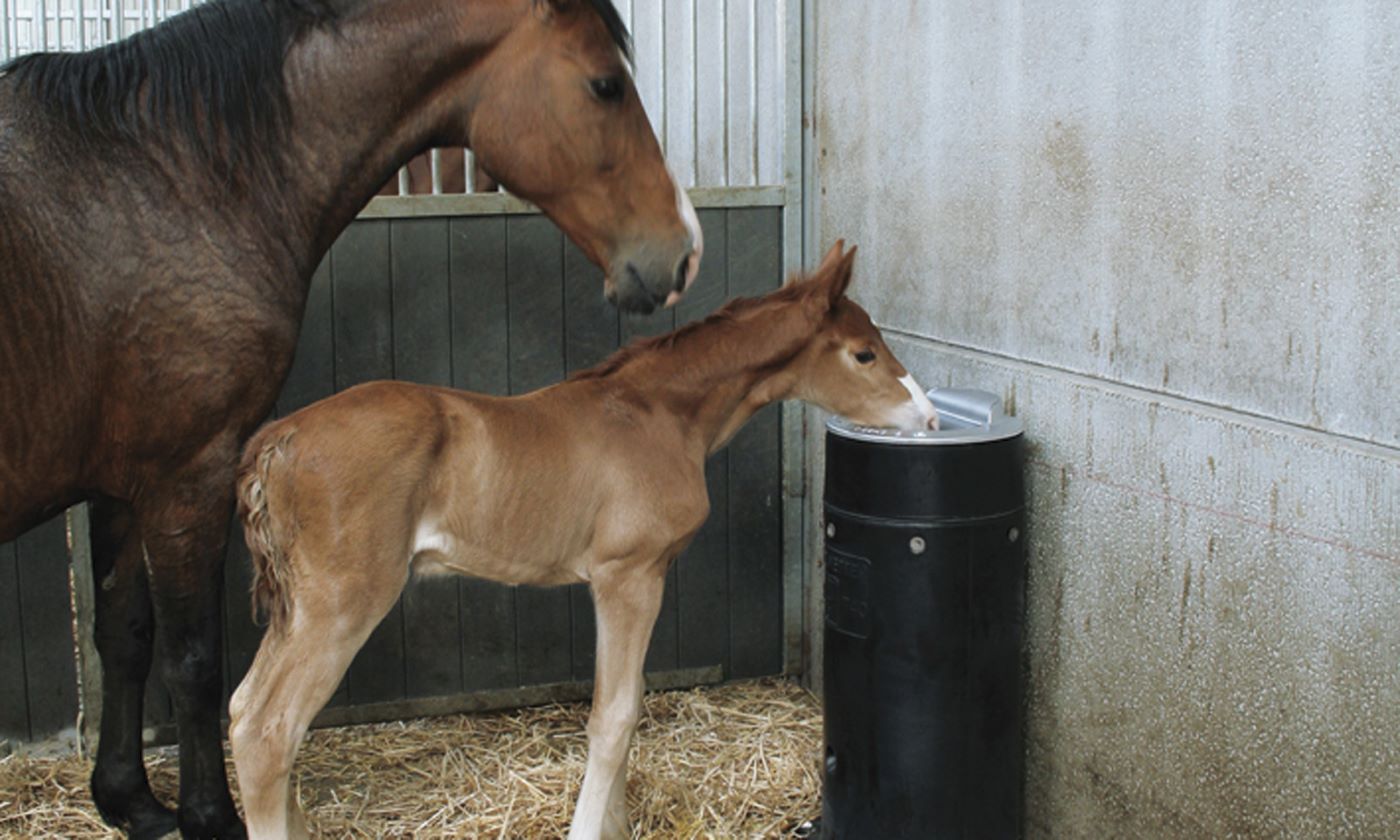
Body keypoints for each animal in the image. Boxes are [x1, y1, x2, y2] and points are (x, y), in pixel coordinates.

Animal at [226, 239, 929, 834]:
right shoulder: (628, 575)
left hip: (299, 607)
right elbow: (613, 716)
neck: (659, 415)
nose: (927, 417)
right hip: (343, 602)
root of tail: (277, 441)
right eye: (864, 353)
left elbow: (628, 702)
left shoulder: (627, 580)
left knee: (243, 709)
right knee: (269, 731)